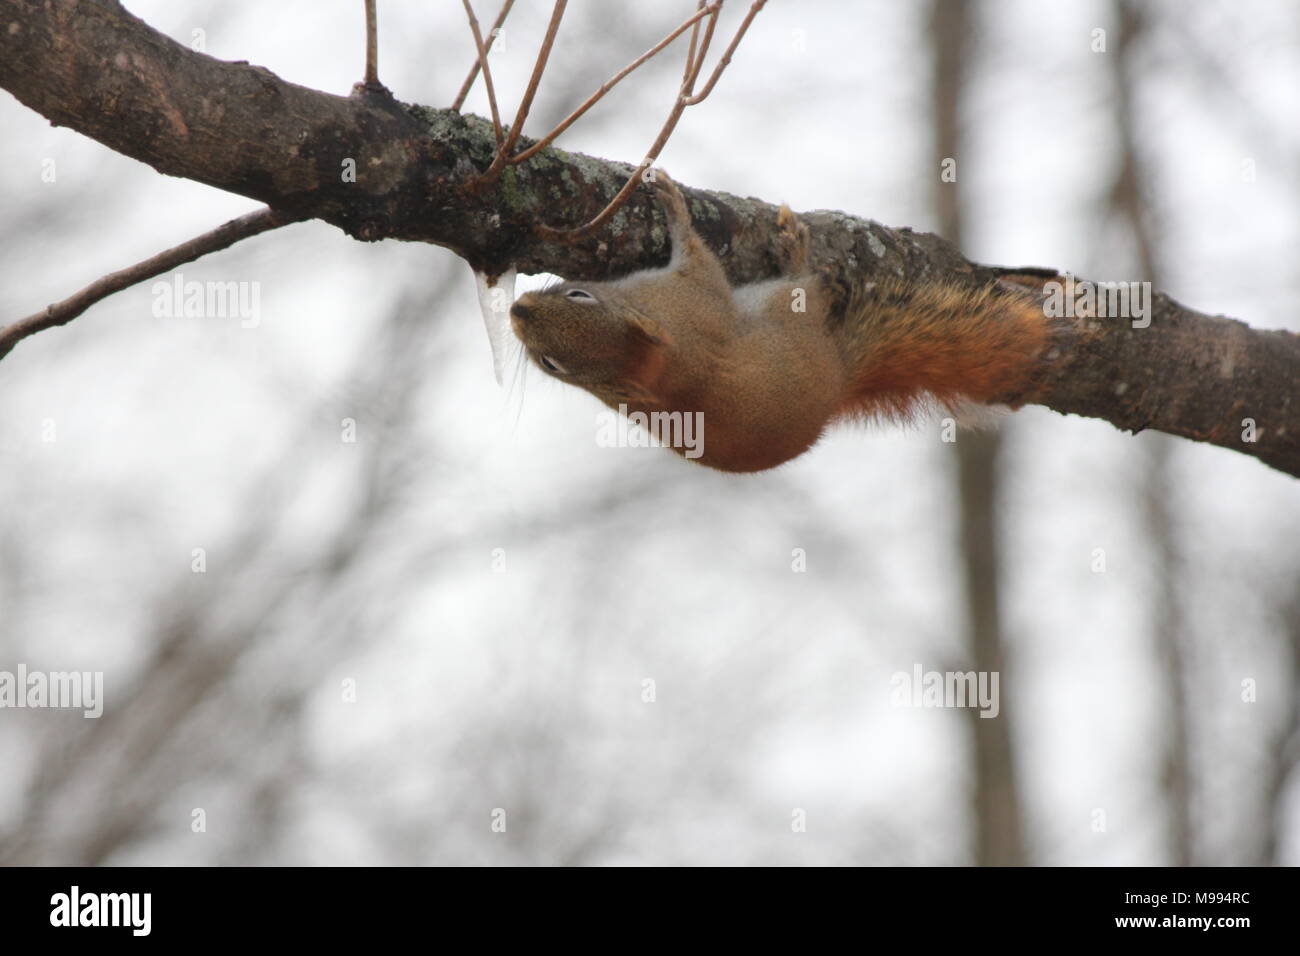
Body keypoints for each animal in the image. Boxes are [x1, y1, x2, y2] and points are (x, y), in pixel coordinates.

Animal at [510, 172, 1051, 473]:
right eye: (550, 362)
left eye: (579, 296)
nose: (516, 312)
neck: (645, 365)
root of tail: (837, 376)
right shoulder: (693, 295)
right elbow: (699, 257)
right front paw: (677, 208)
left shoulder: (691, 297)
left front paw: (673, 205)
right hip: (784, 306)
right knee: (808, 284)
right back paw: (797, 251)